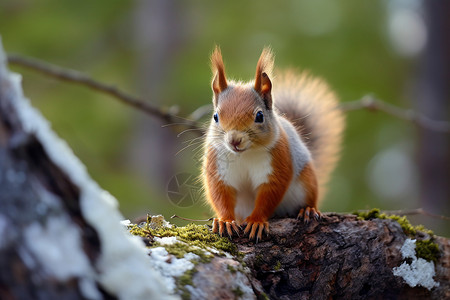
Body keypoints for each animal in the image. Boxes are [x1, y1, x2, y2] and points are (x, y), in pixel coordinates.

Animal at [204, 45, 344, 240]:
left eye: (259, 116)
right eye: (215, 116)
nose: (234, 140)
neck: (245, 154)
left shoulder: (278, 161)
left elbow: (269, 195)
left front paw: (256, 221)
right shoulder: (218, 165)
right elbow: (220, 193)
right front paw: (225, 221)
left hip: (306, 181)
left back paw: (308, 210)